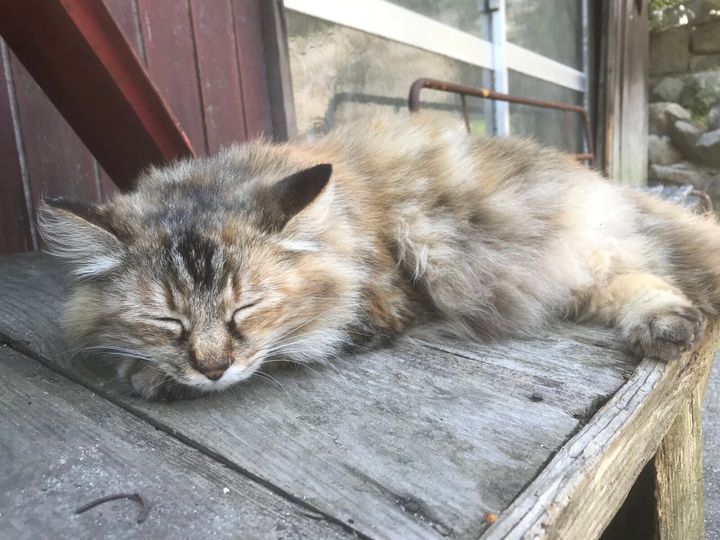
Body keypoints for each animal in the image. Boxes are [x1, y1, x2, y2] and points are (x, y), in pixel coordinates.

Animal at [38, 112, 720, 400]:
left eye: (246, 310)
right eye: (167, 321)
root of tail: (601, 184)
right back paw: (665, 325)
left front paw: (147, 375)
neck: (343, 228)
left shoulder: (378, 309)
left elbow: (292, 346)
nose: (210, 371)